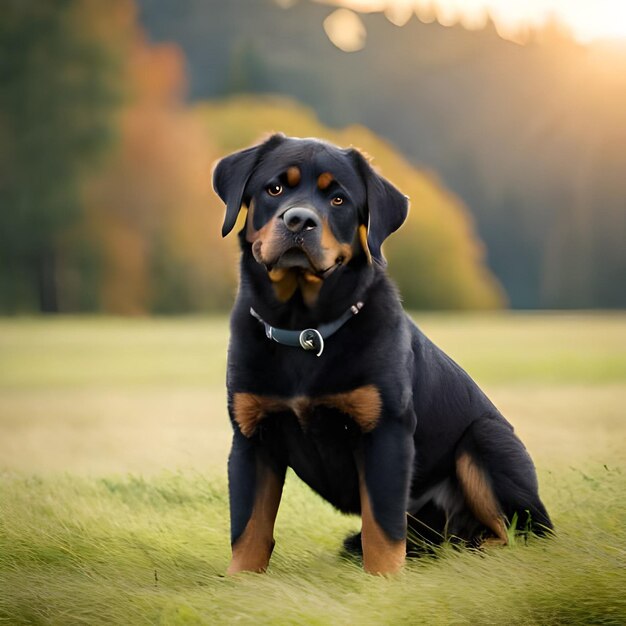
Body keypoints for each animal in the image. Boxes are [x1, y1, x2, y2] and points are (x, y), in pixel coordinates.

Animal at [212, 134, 548, 572]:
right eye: (275, 189)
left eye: (339, 200)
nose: (299, 220)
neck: (304, 328)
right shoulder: (252, 435)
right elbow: (249, 526)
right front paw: (242, 580)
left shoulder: (385, 431)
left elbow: (383, 526)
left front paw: (383, 580)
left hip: (485, 440)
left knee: (515, 534)